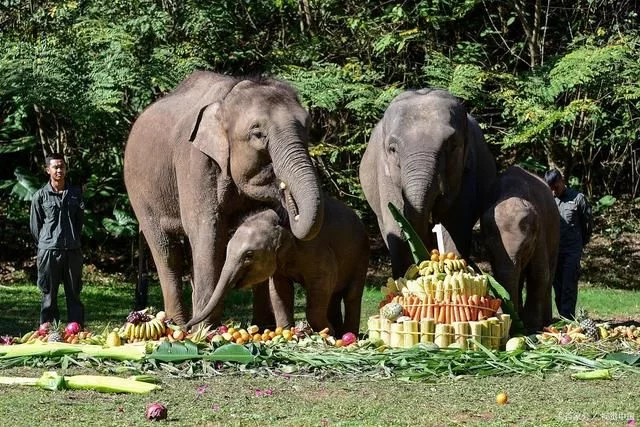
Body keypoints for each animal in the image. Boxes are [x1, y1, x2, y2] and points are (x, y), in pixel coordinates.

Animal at [125, 72, 324, 326]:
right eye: (258, 134)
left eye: (308, 128)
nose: (284, 187)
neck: (229, 97)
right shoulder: (196, 161)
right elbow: (207, 230)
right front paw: (205, 330)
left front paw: (261, 328)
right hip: (139, 191)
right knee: (167, 251)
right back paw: (177, 324)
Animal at [184, 198, 370, 338]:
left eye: (249, 255)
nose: (186, 326)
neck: (279, 220)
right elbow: (279, 291)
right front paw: (287, 333)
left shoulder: (318, 251)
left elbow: (321, 287)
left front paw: (327, 333)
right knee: (335, 296)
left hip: (361, 256)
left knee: (351, 294)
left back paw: (347, 334)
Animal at [358, 88, 498, 280]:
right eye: (392, 149)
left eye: (452, 146)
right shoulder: (384, 176)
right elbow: (397, 228)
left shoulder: (467, 173)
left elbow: (454, 226)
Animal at [480, 167, 560, 334]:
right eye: (489, 250)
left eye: (526, 247)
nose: (514, 327)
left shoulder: (540, 232)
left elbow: (539, 274)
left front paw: (531, 328)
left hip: (556, 233)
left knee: (549, 273)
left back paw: (546, 322)